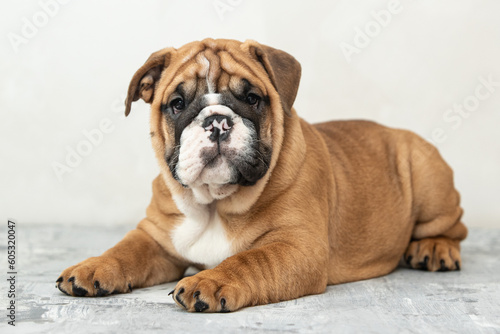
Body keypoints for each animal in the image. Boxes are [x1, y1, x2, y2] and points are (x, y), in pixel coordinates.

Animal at [56, 39, 466, 314]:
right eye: (177, 104)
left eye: (252, 98)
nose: (216, 121)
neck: (215, 204)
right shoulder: (156, 238)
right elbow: (126, 249)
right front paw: (93, 266)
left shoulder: (296, 246)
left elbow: (250, 260)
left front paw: (209, 280)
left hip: (427, 176)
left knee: (452, 226)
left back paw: (433, 249)